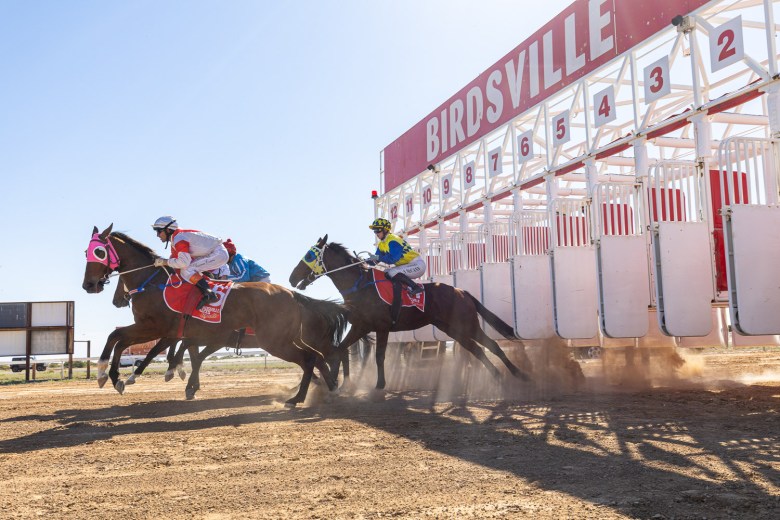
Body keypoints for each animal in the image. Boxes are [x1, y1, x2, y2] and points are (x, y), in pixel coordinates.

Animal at [82, 223, 348, 406]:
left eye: (99, 252)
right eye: (87, 252)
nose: (89, 285)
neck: (154, 283)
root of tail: (293, 294)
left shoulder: (157, 327)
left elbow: (121, 338)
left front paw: (111, 374)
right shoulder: (173, 331)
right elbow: (122, 340)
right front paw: (114, 375)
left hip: (275, 341)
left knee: (314, 358)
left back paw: (301, 397)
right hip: (287, 337)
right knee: (317, 358)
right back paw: (326, 391)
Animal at [290, 234, 532, 392]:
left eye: (309, 256)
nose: (292, 278)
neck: (360, 286)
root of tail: (461, 291)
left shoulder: (382, 327)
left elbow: (379, 356)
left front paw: (379, 385)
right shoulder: (361, 326)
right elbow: (339, 349)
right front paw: (335, 383)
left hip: (468, 325)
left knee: (492, 346)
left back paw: (519, 375)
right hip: (455, 330)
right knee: (478, 350)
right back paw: (500, 376)